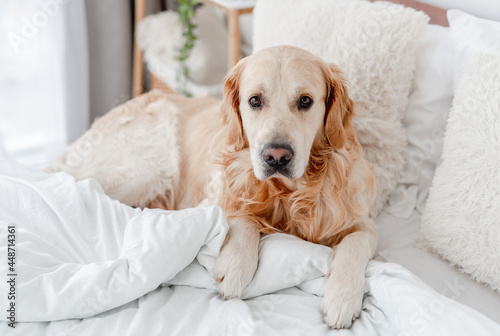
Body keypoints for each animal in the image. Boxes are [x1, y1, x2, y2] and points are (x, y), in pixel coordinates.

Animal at [48, 44, 376, 328]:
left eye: (305, 101)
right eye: (255, 100)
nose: (276, 157)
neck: (288, 192)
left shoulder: (360, 221)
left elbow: (357, 241)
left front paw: (342, 297)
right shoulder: (215, 198)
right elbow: (241, 216)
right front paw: (235, 265)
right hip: (149, 165)